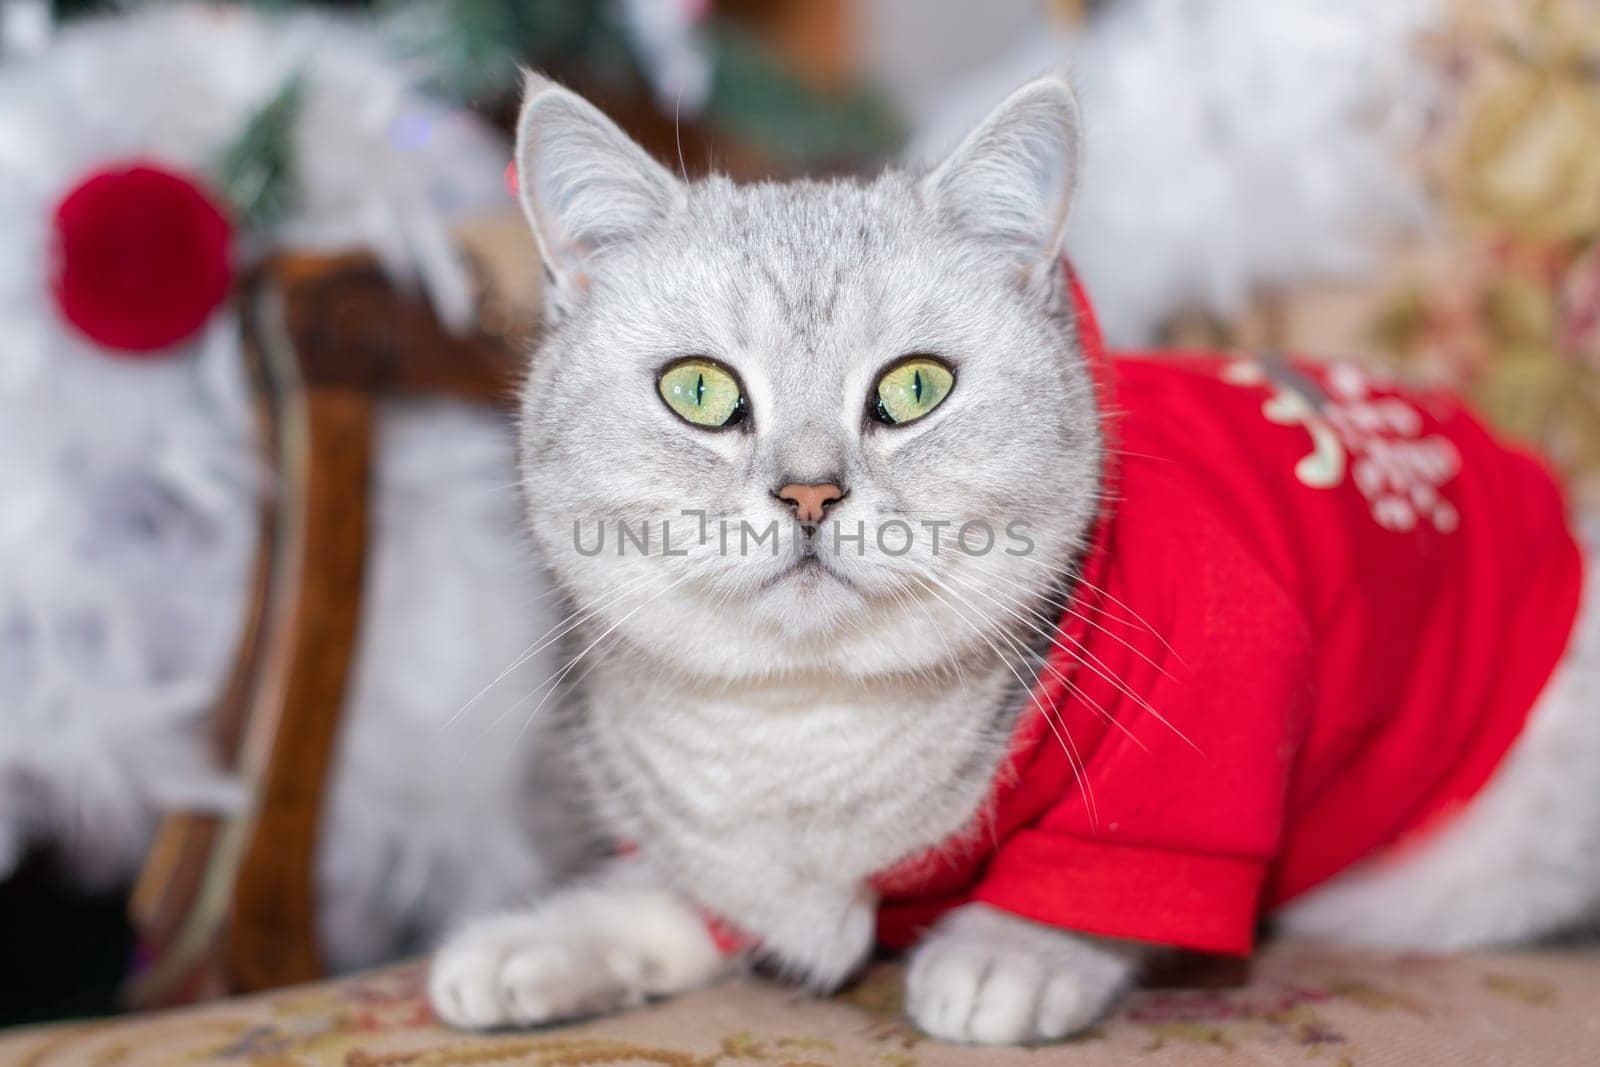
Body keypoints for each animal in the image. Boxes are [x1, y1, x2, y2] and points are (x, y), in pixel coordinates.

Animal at [432, 73, 1600, 1043]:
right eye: (701, 390)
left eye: (913, 388)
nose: (809, 491)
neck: (803, 721)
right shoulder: (712, 839)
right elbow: (684, 896)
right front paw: (543, 939)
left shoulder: (1207, 722)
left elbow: (1100, 878)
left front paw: (1008, 955)